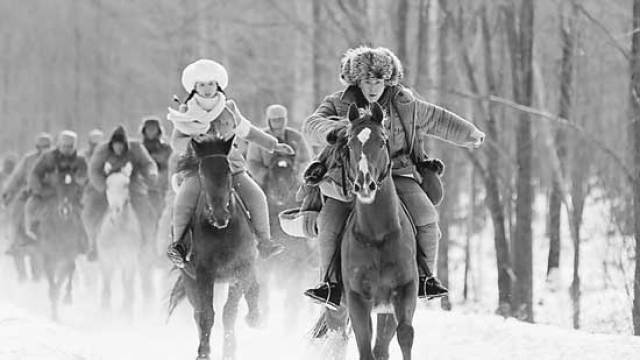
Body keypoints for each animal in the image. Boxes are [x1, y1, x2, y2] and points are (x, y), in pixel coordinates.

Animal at [37, 166, 87, 320]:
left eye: (76, 190)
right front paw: (54, 313)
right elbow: (52, 285)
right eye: (57, 188)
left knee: (71, 272)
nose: (65, 210)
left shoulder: (68, 258)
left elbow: (61, 281)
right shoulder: (48, 258)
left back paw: (67, 298)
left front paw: (56, 313)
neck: (60, 231)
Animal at [94, 162, 143, 316]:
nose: (116, 209)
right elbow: (106, 290)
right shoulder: (106, 259)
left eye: (126, 185)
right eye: (108, 185)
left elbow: (128, 290)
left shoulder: (129, 259)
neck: (118, 231)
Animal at [170, 134, 262, 360]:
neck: (222, 232)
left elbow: (230, 312)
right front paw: (203, 353)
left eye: (228, 169)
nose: (220, 215)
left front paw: (230, 350)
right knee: (198, 313)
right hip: (189, 278)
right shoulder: (204, 274)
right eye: (201, 173)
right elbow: (206, 315)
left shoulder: (241, 268)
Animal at [312, 102, 418, 360]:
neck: (378, 234)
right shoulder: (357, 299)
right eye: (349, 144)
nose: (365, 184)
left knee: (382, 346)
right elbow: (363, 347)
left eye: (382, 141)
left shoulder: (403, 291)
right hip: (339, 308)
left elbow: (405, 334)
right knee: (338, 339)